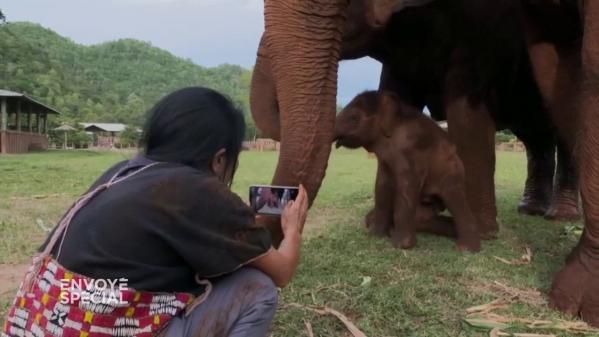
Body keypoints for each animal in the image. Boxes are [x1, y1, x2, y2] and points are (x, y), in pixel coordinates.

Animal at [336, 90, 480, 251]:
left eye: (353, 117)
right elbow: (382, 184)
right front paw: (375, 236)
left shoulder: (411, 150)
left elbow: (407, 185)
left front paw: (401, 246)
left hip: (452, 172)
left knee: (455, 199)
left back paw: (466, 249)